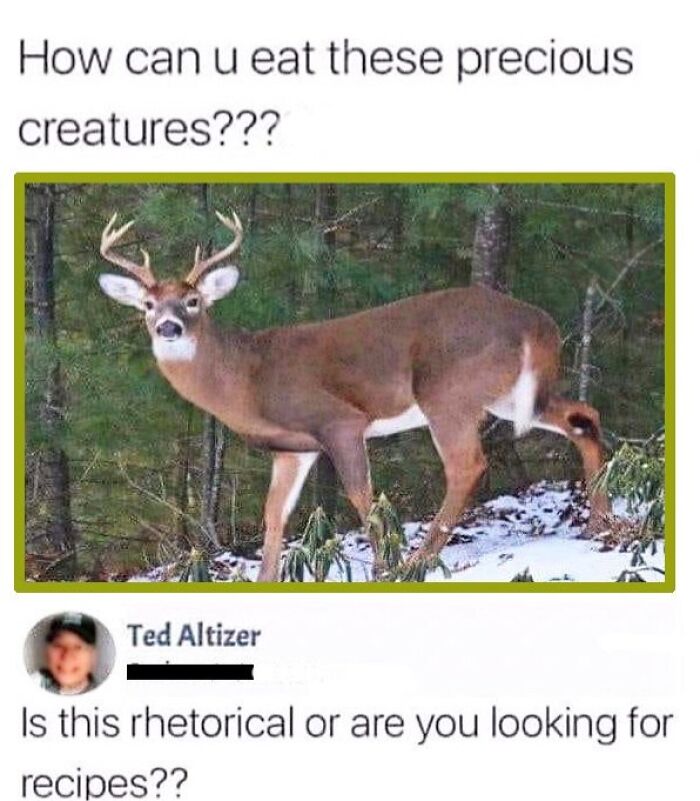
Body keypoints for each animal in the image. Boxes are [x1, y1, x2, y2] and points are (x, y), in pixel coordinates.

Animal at [98, 210, 609, 582]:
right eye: (148, 305)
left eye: (193, 301)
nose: (169, 327)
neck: (248, 377)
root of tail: (537, 321)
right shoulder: (292, 449)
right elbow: (273, 515)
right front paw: (266, 579)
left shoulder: (338, 421)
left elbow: (362, 495)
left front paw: (382, 566)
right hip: (510, 394)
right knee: (583, 415)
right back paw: (599, 520)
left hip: (446, 390)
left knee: (467, 464)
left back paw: (418, 561)